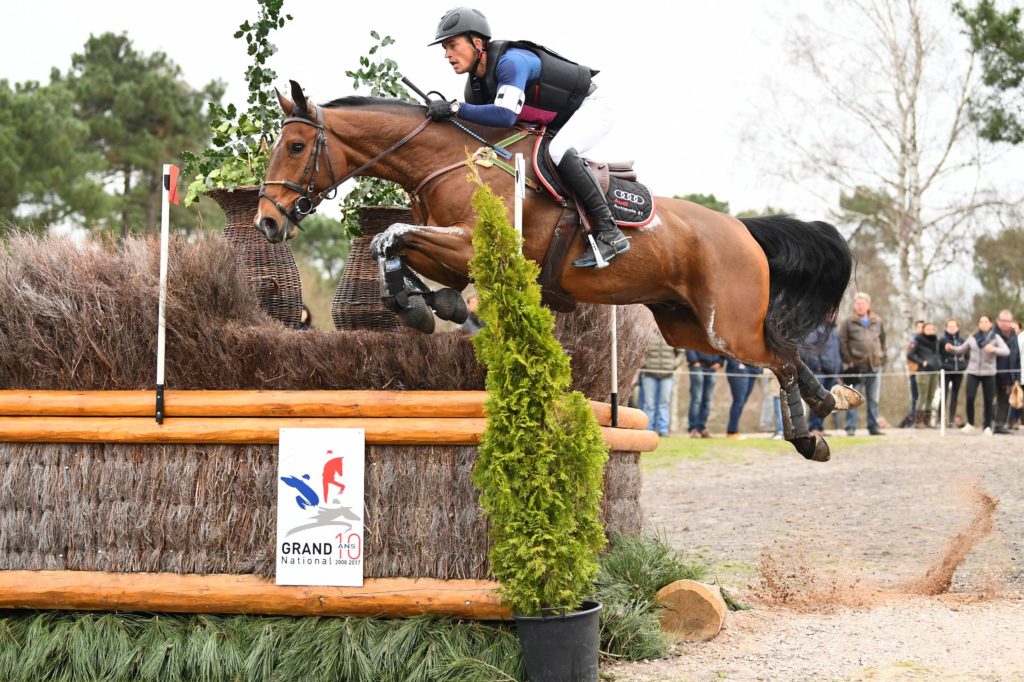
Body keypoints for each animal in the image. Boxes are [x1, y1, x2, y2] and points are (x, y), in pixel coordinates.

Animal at [258, 80, 864, 462]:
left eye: (296, 146)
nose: (267, 221)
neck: (446, 162)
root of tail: (742, 229)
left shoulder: (476, 247)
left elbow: (392, 237)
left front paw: (427, 309)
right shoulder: (451, 255)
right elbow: (398, 252)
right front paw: (424, 309)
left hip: (724, 327)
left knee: (777, 357)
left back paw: (808, 436)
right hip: (686, 326)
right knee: (784, 349)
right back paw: (831, 403)